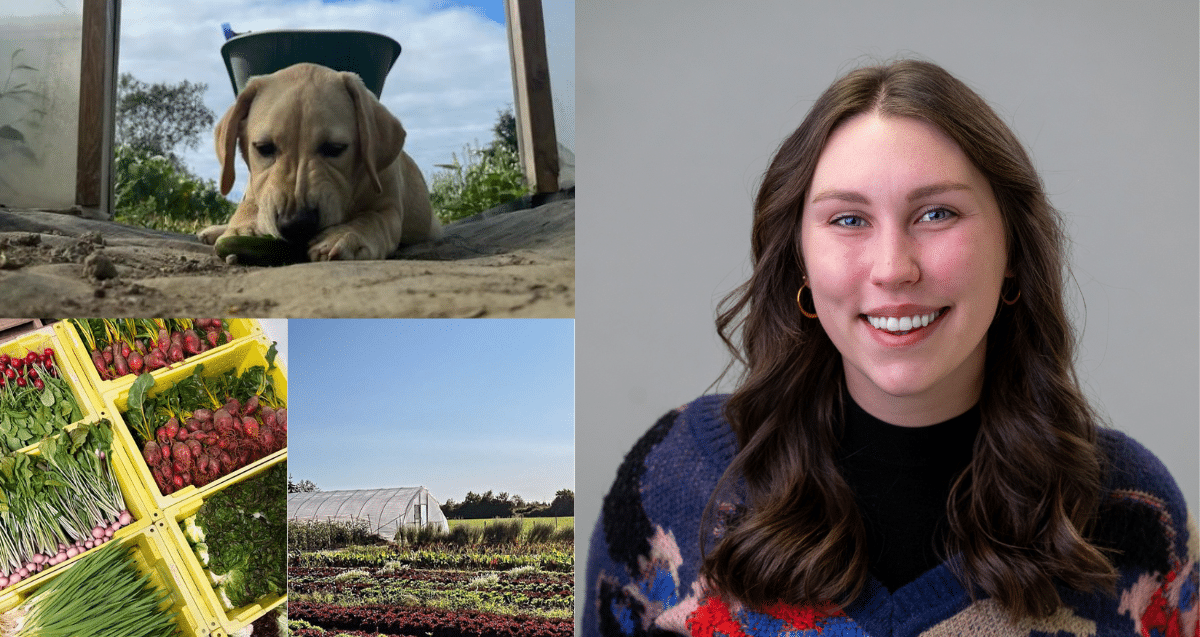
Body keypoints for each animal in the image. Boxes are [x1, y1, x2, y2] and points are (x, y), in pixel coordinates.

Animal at [199, 63, 439, 262]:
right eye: (264, 148)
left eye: (335, 148)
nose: (296, 225)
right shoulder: (255, 188)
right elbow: (248, 206)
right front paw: (244, 229)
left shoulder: (390, 208)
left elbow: (373, 218)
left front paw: (347, 235)